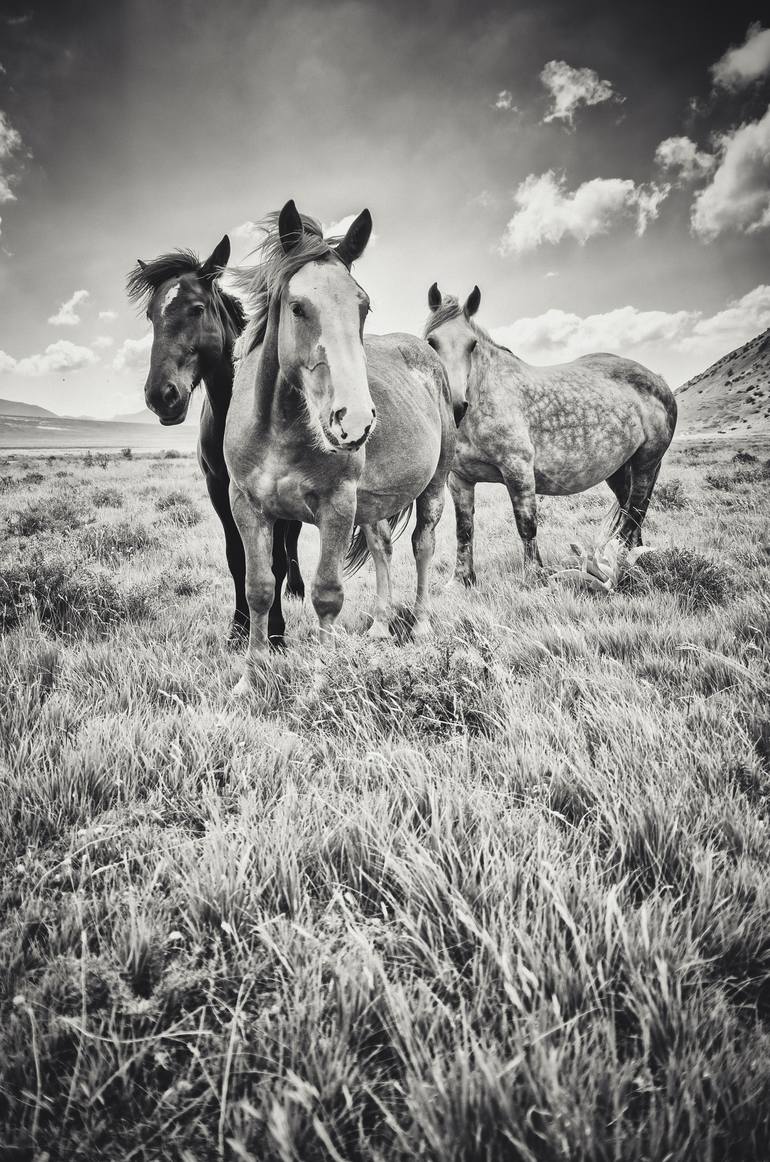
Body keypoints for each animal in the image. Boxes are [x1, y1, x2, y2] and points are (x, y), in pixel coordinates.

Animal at [124, 238, 301, 646]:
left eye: (197, 308)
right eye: (152, 316)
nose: (161, 395)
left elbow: (274, 561)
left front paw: (276, 633)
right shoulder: (218, 487)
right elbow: (236, 557)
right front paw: (238, 628)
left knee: (293, 543)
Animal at [222, 202, 455, 687]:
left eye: (362, 306)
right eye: (297, 307)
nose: (356, 420)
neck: (279, 429)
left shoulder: (337, 504)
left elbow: (327, 594)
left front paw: (322, 679)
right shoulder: (247, 506)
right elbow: (259, 590)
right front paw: (251, 676)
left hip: (434, 486)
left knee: (422, 545)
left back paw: (421, 626)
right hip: (373, 504)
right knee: (384, 548)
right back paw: (381, 627)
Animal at [425, 285, 678, 585]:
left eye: (472, 344)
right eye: (431, 342)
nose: (455, 406)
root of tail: (658, 380)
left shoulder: (518, 469)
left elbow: (526, 524)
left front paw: (534, 576)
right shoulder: (460, 479)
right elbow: (464, 530)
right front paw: (461, 580)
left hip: (646, 463)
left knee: (635, 512)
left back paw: (624, 566)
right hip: (618, 469)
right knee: (630, 510)